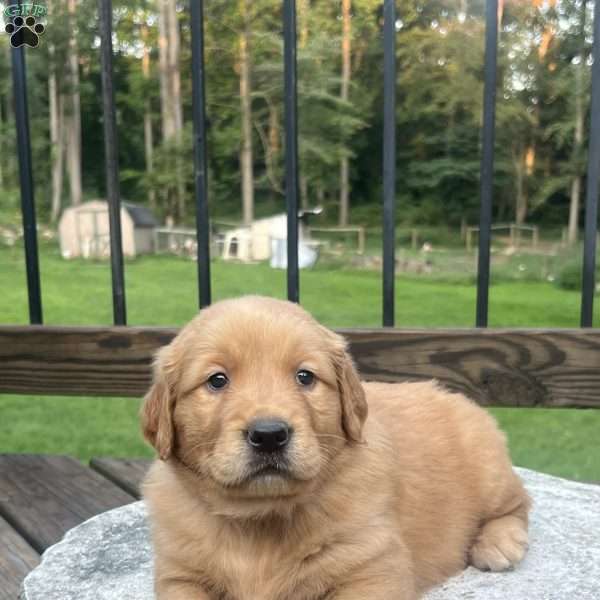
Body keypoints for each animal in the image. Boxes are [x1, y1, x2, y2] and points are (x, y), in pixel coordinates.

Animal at [142, 296, 528, 600]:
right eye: (217, 380)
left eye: (305, 376)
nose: (269, 435)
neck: (261, 520)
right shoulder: (179, 573)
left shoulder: (373, 567)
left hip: (489, 469)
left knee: (519, 501)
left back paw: (499, 542)